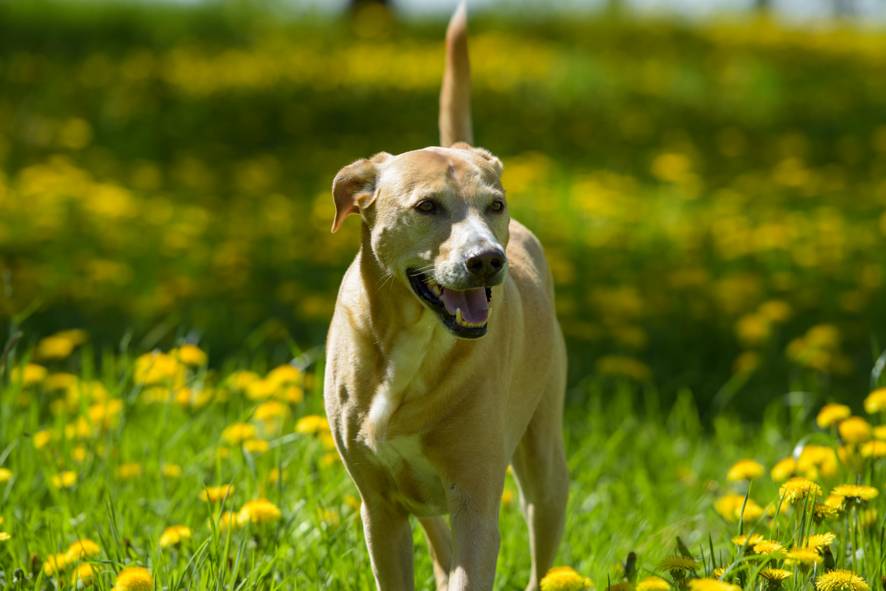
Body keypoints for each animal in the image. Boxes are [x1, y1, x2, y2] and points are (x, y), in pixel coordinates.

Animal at [326, 2, 568, 588]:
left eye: (494, 205)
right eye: (427, 206)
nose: (488, 259)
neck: (414, 343)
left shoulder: (475, 504)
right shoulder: (380, 510)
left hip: (544, 466)